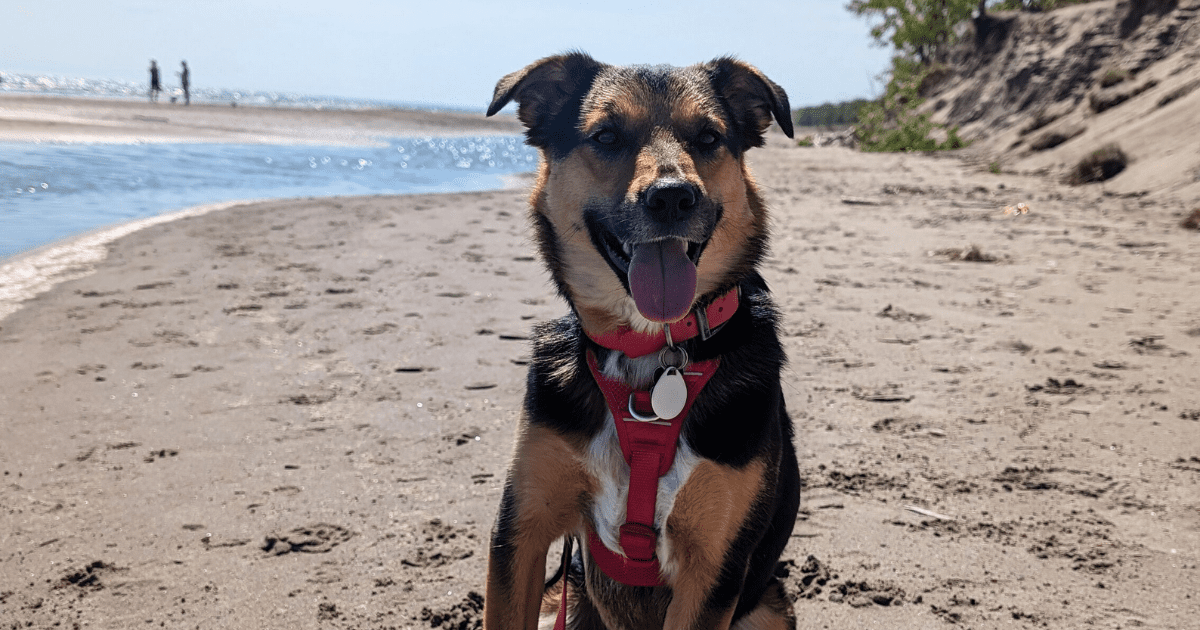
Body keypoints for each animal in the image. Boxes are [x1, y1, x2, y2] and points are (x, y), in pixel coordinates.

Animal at [482, 52, 801, 628]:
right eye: (606, 136)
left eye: (708, 137)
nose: (672, 197)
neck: (652, 350)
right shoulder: (520, 529)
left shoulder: (714, 568)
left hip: (766, 608)